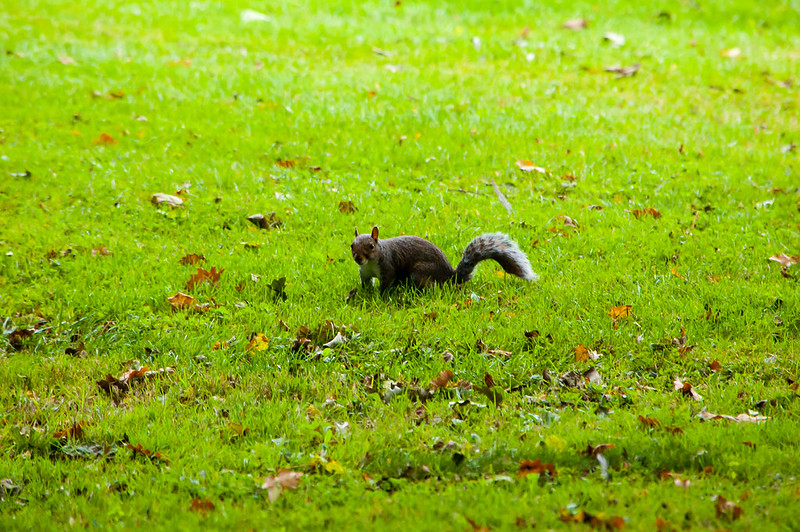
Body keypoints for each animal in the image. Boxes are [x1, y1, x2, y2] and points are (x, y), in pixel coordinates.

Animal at [351, 226, 538, 293]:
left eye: (371, 246)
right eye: (351, 245)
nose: (358, 258)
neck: (370, 264)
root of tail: (449, 275)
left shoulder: (388, 267)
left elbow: (386, 283)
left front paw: (380, 295)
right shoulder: (364, 272)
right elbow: (365, 282)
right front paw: (364, 292)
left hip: (419, 273)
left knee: (433, 288)